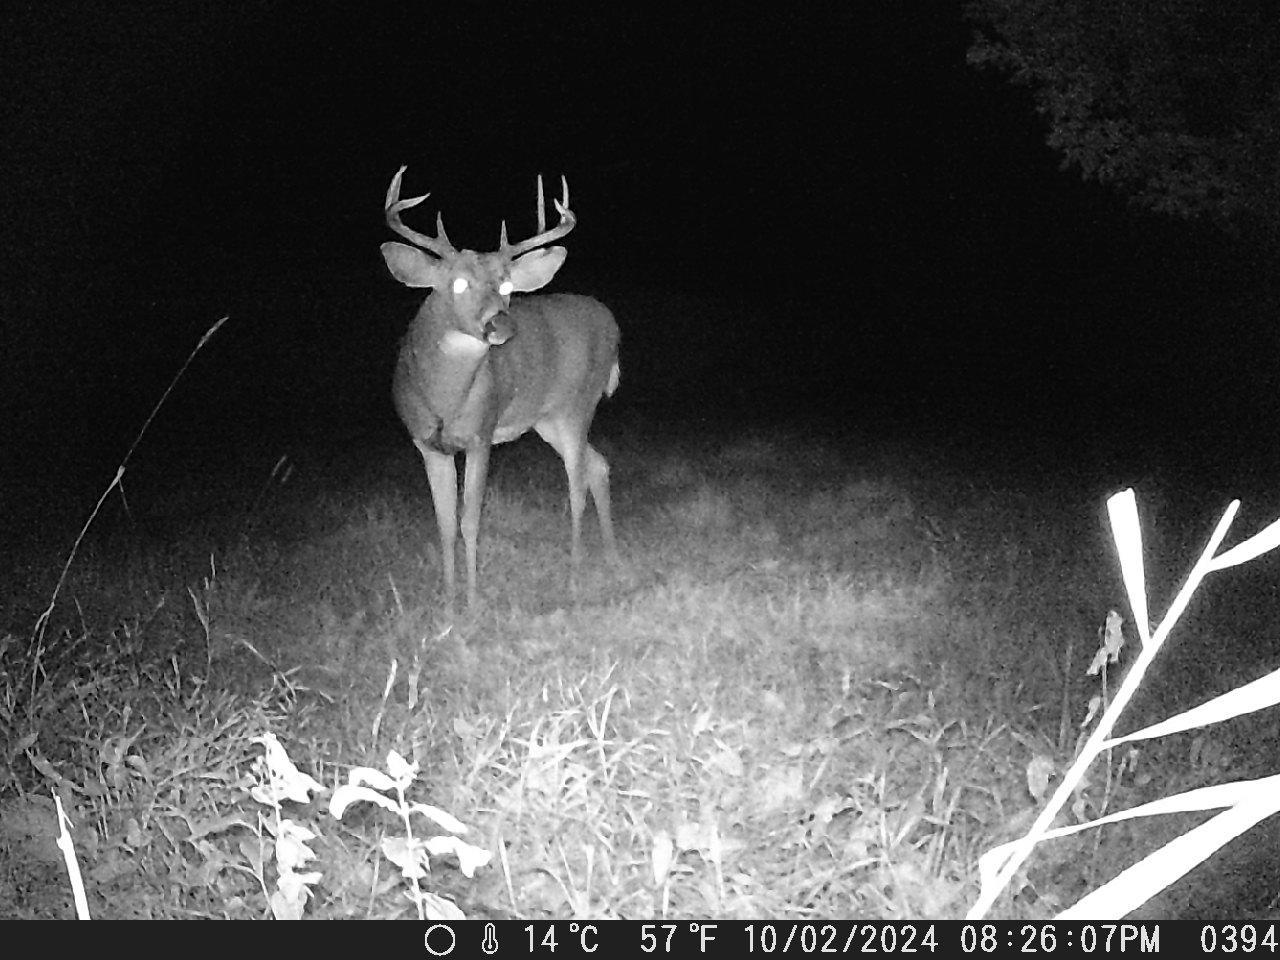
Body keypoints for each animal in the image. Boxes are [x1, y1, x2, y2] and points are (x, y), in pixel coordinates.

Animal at [382, 165, 621, 611]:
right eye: (458, 284)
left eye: (507, 287)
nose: (500, 324)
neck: (444, 398)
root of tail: (613, 325)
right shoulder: (426, 444)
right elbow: (444, 524)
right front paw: (448, 601)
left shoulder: (482, 433)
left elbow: (470, 519)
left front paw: (473, 603)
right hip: (546, 420)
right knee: (599, 466)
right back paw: (613, 557)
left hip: (577, 406)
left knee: (578, 483)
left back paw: (574, 577)